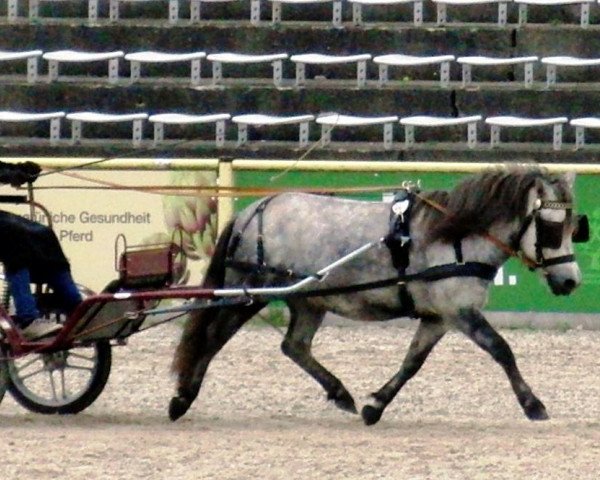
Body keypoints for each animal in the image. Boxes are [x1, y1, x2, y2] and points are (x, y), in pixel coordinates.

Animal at [169, 167, 580, 426]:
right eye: (551, 228)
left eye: (575, 226)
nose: (570, 281)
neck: (457, 237)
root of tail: (254, 209)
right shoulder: (461, 312)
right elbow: (502, 350)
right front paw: (533, 404)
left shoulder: (439, 317)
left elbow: (412, 363)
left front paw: (376, 406)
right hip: (250, 293)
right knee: (213, 338)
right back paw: (182, 398)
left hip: (308, 299)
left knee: (294, 346)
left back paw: (340, 393)